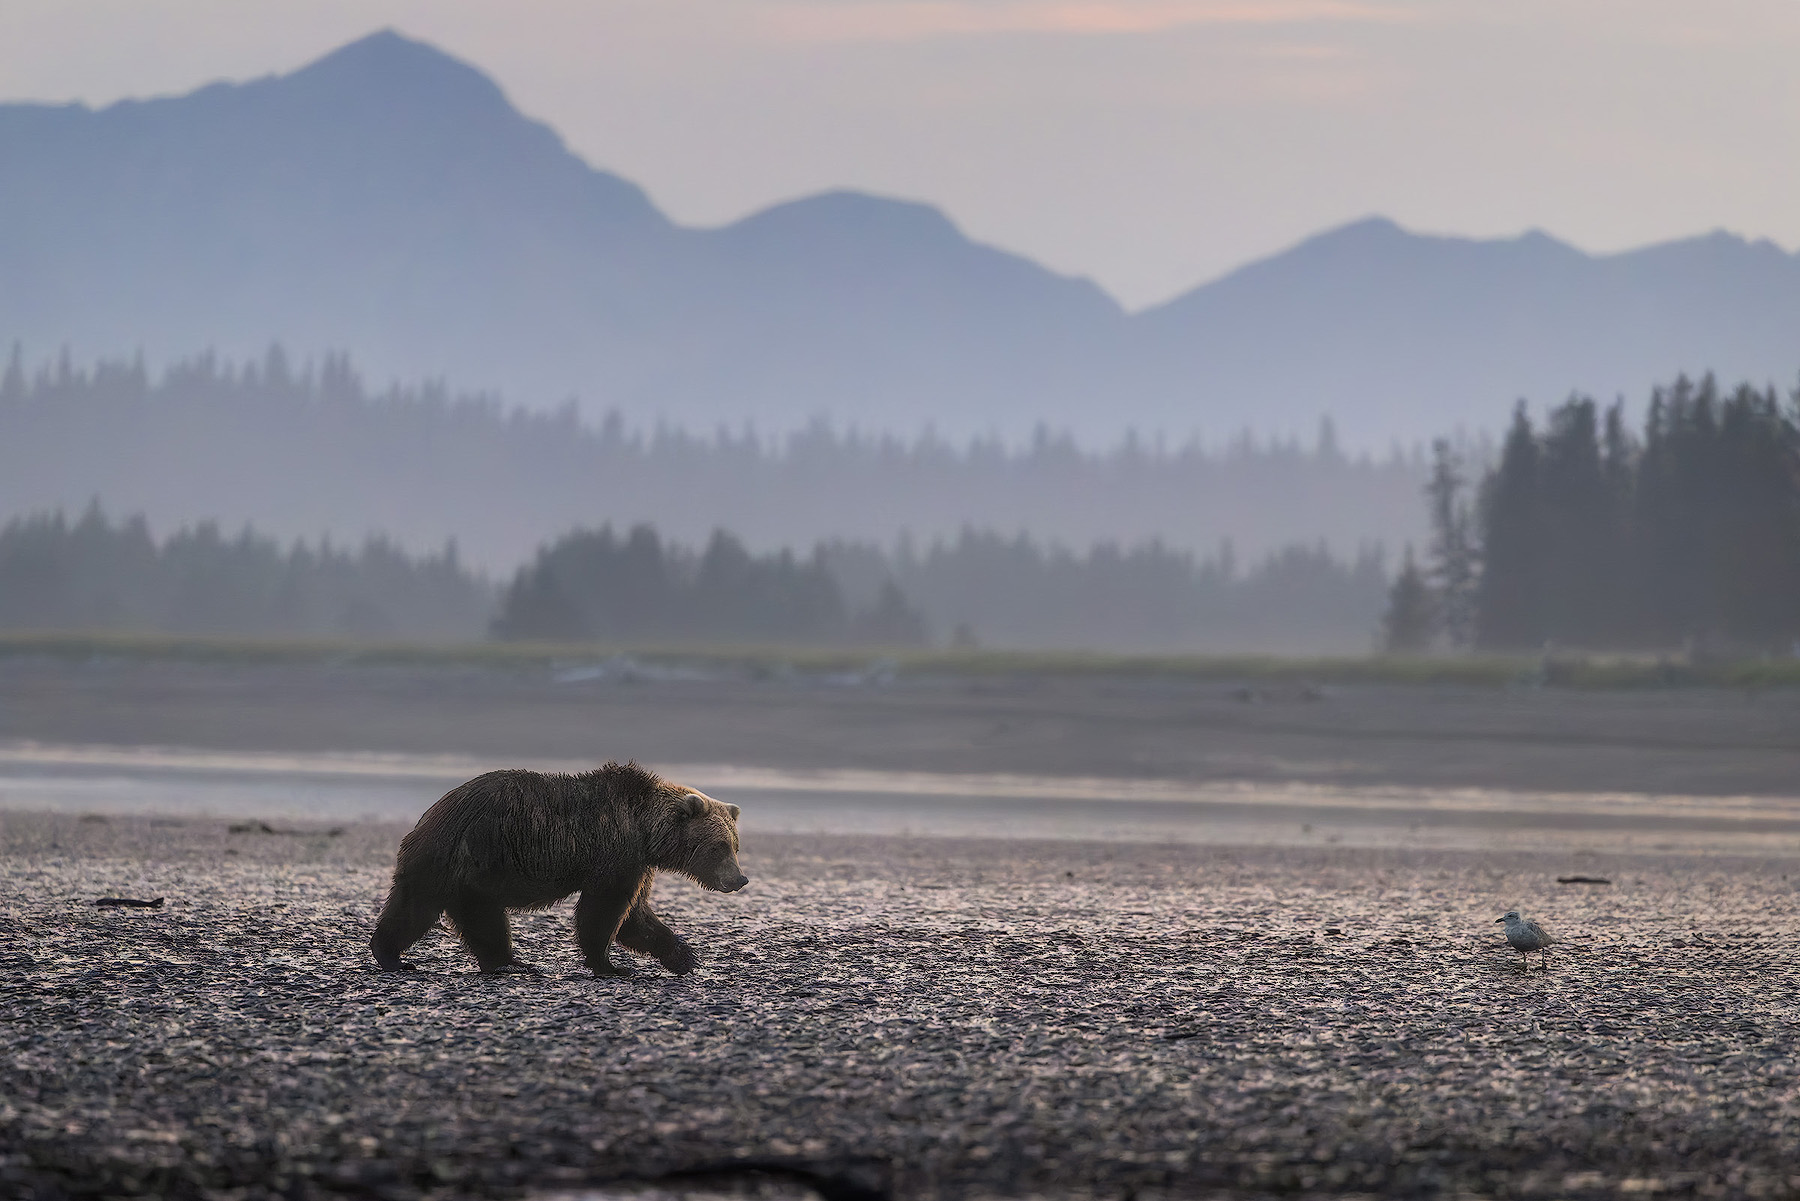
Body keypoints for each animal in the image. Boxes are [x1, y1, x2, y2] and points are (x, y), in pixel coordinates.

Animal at [369, 761, 746, 977]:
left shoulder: (638, 864)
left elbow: (635, 917)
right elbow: (603, 912)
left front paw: (684, 957)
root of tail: (431, 814)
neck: (644, 828)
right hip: (468, 857)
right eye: (718, 847)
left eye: (735, 844)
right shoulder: (614, 855)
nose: (739, 879)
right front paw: (610, 965)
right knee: (431, 911)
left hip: (458, 873)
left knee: (452, 914)